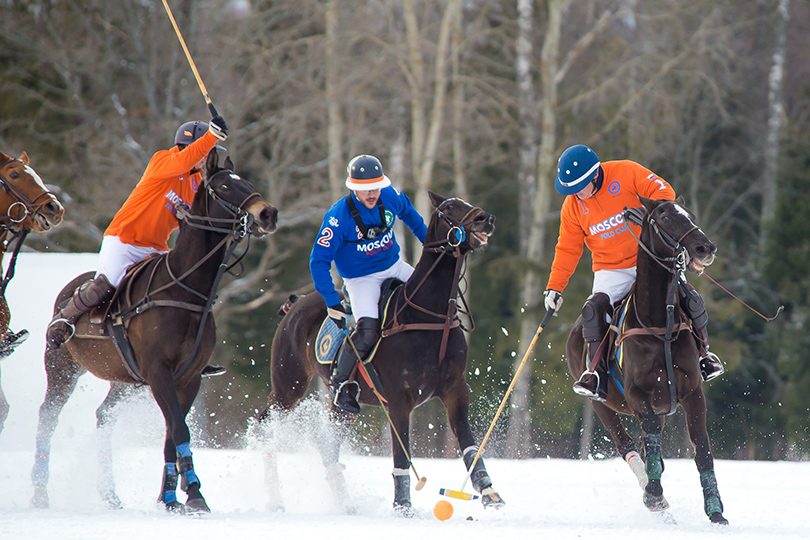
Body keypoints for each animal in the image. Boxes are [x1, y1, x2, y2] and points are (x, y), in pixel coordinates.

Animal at [30, 150, 278, 512]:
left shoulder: (187, 378)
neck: (187, 291)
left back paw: (110, 495)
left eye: (246, 182)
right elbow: (180, 430)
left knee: (104, 416)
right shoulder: (159, 370)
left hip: (125, 382)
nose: (268, 213)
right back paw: (39, 493)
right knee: (48, 417)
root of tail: (70, 286)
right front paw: (195, 494)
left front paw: (172, 496)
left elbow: (172, 434)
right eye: (222, 186)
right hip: (62, 367)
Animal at [260, 191, 498, 516]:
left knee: (328, 447)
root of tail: (295, 303)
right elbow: (401, 456)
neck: (429, 316)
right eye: (450, 207)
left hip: (341, 408)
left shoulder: (456, 390)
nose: (486, 218)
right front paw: (403, 506)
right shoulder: (399, 400)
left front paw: (489, 491)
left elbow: (469, 444)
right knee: (267, 427)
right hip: (288, 386)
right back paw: (275, 499)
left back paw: (346, 503)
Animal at [560, 197, 724, 524]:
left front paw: (715, 511)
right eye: (664, 217)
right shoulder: (638, 395)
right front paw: (654, 496)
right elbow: (651, 442)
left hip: (660, 406)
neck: (659, 321)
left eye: (690, 215)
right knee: (626, 444)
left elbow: (702, 449)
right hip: (601, 404)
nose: (705, 247)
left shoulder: (692, 393)